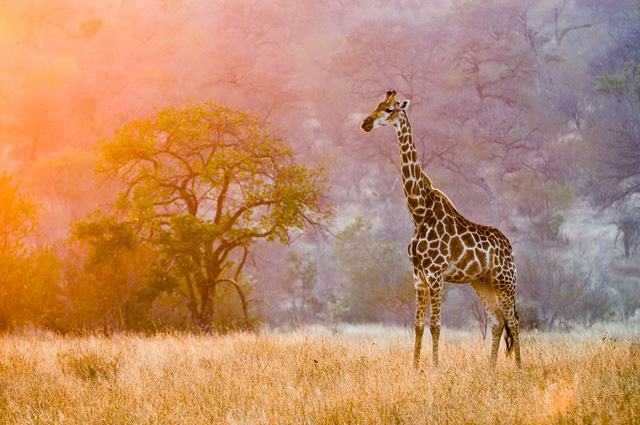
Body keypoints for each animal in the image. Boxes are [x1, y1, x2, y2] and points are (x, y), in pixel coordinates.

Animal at [360, 89, 520, 368]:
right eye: (376, 105)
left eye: (388, 110)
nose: (366, 124)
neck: (419, 213)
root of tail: (509, 247)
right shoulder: (418, 275)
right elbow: (417, 326)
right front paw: (414, 369)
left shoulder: (435, 274)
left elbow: (435, 325)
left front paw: (434, 369)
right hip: (482, 282)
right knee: (498, 321)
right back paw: (491, 370)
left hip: (505, 281)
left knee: (515, 321)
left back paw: (520, 370)